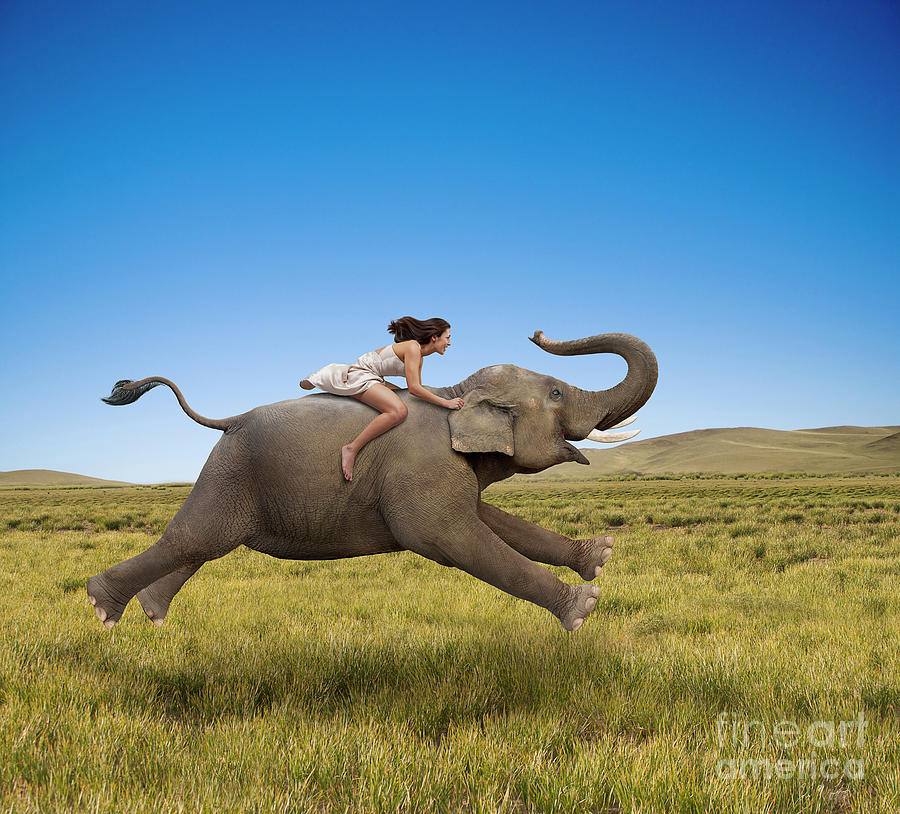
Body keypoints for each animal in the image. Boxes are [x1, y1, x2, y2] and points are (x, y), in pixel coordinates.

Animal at [88, 330, 656, 632]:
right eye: (557, 393)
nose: (538, 333)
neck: (455, 392)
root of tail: (231, 419)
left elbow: (488, 519)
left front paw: (600, 556)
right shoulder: (422, 470)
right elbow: (454, 538)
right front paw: (585, 607)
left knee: (199, 547)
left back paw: (153, 614)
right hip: (231, 470)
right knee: (192, 539)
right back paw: (101, 606)